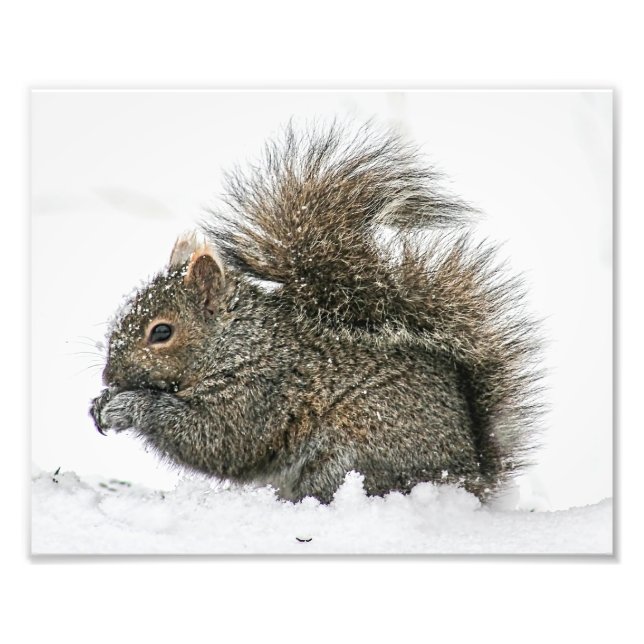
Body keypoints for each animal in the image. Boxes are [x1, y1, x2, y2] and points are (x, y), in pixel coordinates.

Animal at [90, 121, 542, 504]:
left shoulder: (261, 392)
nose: (109, 377)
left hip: (352, 454)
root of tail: (469, 478)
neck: (238, 342)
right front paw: (100, 402)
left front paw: (128, 406)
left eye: (161, 332)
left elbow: (218, 439)